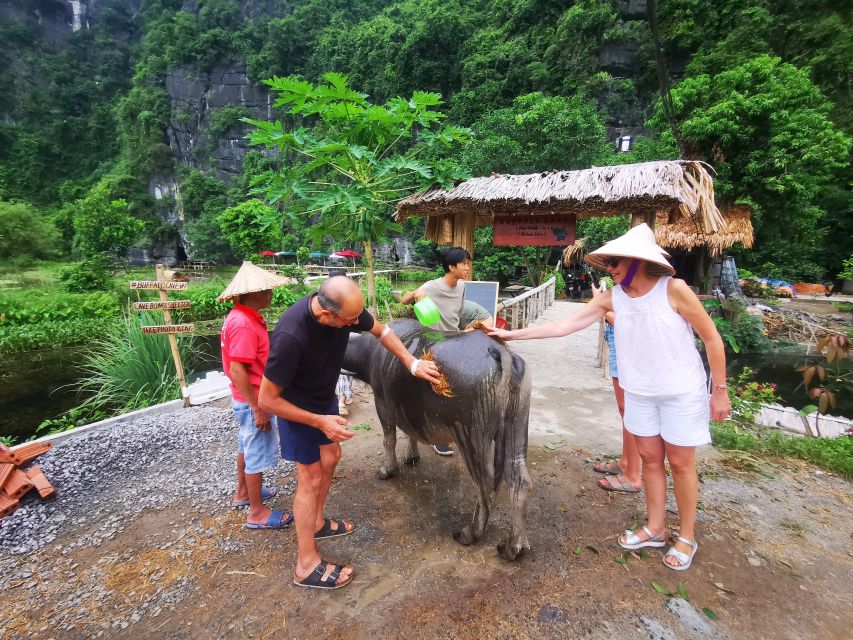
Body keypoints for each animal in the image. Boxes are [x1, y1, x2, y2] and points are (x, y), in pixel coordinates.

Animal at [342, 318, 532, 556]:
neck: (370, 350)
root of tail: (498, 351)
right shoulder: (408, 410)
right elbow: (410, 432)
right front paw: (412, 456)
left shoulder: (383, 404)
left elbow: (389, 440)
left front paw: (387, 470)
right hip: (517, 424)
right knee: (519, 480)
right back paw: (514, 547)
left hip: (471, 434)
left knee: (486, 486)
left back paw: (469, 533)